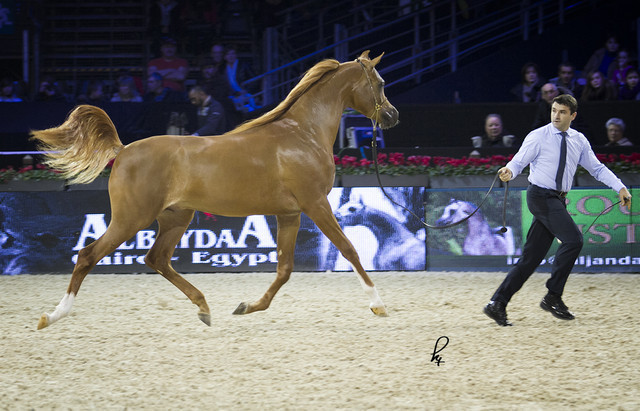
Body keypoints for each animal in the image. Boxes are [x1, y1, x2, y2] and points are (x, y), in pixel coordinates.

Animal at [31, 50, 399, 329]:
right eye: (381, 83)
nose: (392, 116)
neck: (301, 134)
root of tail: (122, 150)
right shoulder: (316, 203)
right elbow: (349, 250)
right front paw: (378, 304)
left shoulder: (289, 213)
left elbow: (284, 269)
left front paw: (247, 306)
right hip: (131, 219)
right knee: (88, 255)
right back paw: (53, 315)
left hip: (175, 217)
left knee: (156, 258)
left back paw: (204, 307)